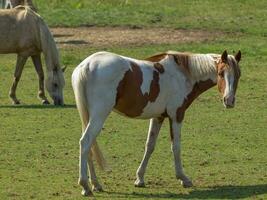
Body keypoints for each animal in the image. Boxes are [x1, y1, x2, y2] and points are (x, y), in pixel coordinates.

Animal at [71, 49, 243, 195]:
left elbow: (150, 146)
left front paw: (139, 179)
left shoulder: (158, 117)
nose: (229, 101)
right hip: (99, 115)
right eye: (221, 73)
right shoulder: (176, 115)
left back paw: (95, 184)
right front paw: (183, 178)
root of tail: (86, 65)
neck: (182, 74)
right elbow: (176, 147)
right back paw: (85, 185)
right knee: (86, 142)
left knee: (89, 146)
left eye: (238, 75)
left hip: (88, 116)